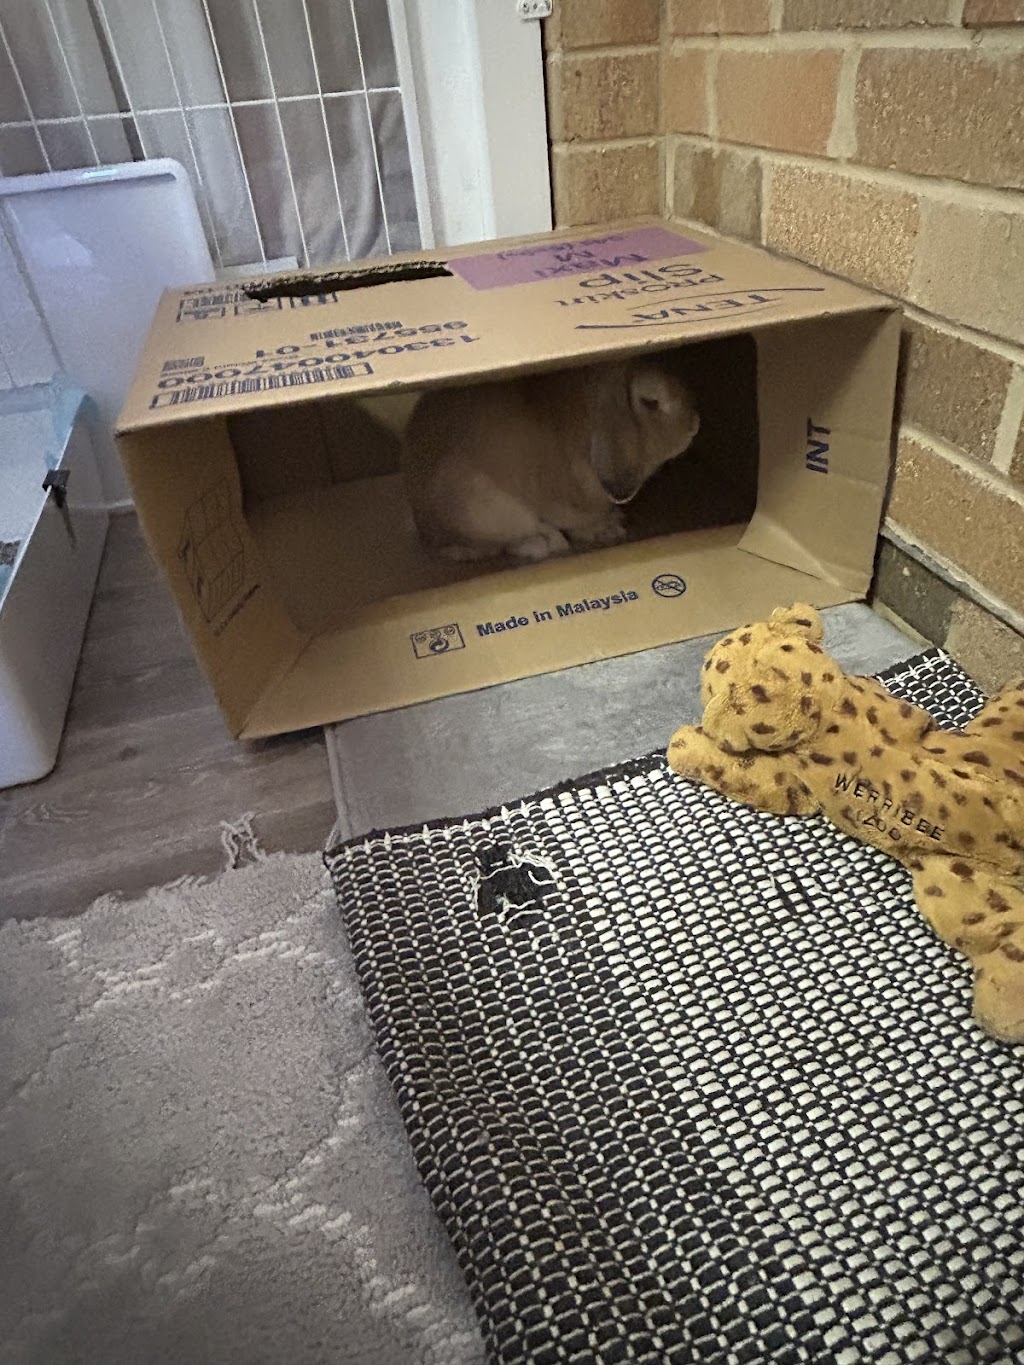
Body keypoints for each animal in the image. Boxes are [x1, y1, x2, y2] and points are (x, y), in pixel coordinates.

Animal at [400, 357, 700, 563]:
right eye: (651, 401)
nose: (695, 425)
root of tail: (425, 530)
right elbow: (579, 524)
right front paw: (606, 529)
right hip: (482, 508)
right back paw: (548, 543)